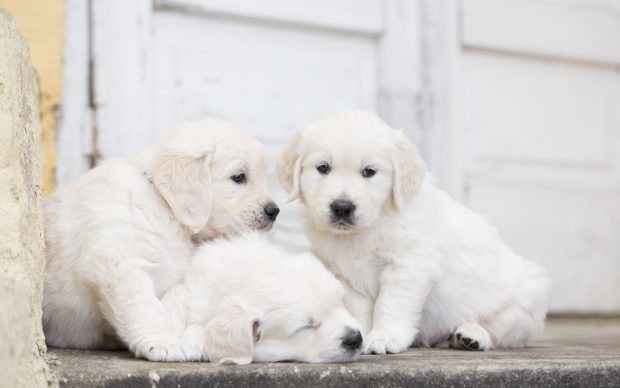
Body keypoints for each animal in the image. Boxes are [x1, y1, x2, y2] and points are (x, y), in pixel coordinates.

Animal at [42, 119, 278, 360]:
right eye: (239, 177)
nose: (274, 211)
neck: (163, 204)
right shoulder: (119, 264)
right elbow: (146, 307)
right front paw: (160, 342)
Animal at [278, 110, 548, 354]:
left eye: (369, 172)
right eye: (323, 168)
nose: (342, 207)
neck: (372, 225)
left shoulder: (408, 265)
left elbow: (392, 304)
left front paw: (385, 336)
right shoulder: (343, 274)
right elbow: (359, 307)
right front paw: (360, 334)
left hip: (529, 298)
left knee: (499, 331)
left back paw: (472, 335)